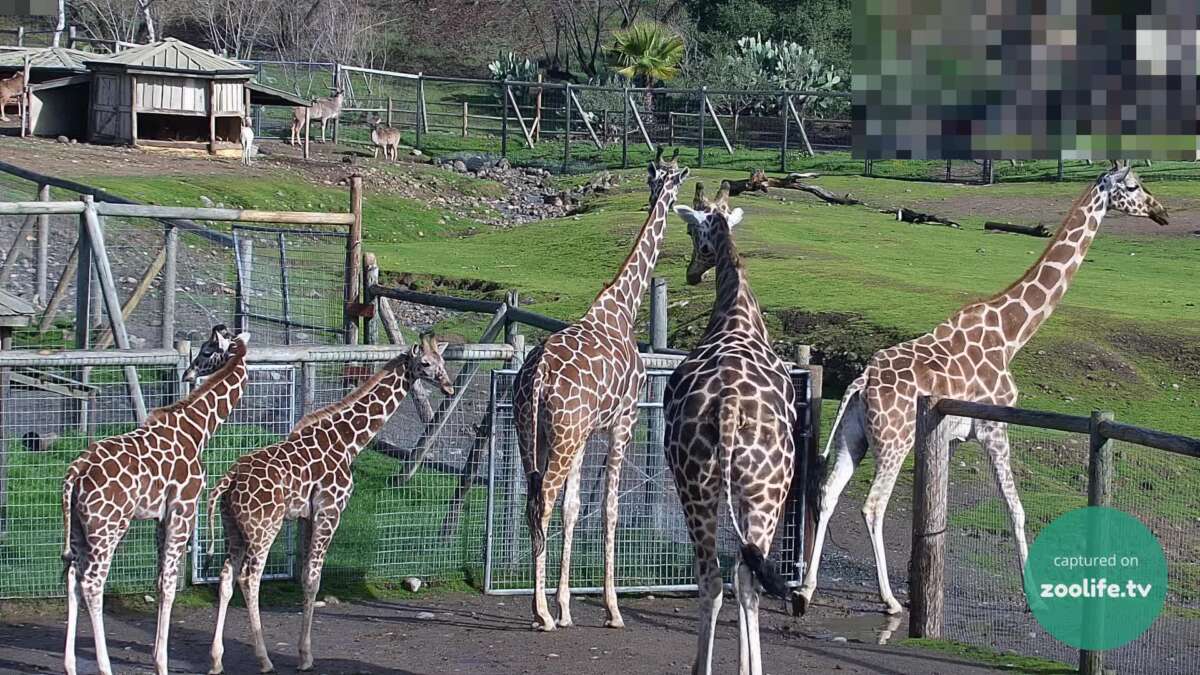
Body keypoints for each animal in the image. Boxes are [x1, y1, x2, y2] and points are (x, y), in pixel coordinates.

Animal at [62, 325, 251, 675]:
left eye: (206, 351)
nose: (189, 372)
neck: (198, 429)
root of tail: (74, 474)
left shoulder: (160, 518)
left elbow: (159, 580)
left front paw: (156, 655)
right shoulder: (183, 509)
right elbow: (169, 583)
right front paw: (161, 662)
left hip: (79, 529)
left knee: (71, 578)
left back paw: (70, 665)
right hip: (107, 528)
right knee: (92, 583)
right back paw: (104, 666)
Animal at [206, 334, 454, 674]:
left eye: (444, 362)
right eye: (426, 364)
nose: (449, 387)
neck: (349, 441)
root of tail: (229, 479)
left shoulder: (307, 516)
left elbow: (304, 577)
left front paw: (303, 653)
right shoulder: (330, 511)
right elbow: (313, 579)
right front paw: (306, 656)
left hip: (233, 527)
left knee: (226, 578)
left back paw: (217, 660)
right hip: (263, 529)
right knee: (249, 578)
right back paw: (264, 659)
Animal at [513, 147, 689, 631]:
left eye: (661, 179)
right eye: (677, 182)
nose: (668, 197)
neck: (623, 309)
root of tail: (537, 376)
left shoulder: (586, 433)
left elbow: (575, 508)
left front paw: (566, 605)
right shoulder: (623, 421)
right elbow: (609, 510)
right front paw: (610, 609)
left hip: (535, 434)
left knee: (534, 500)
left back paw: (545, 610)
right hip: (563, 435)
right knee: (542, 501)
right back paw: (538, 614)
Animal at [666, 181, 797, 675]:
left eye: (690, 229)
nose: (690, 274)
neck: (736, 309)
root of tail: (727, 407)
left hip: (699, 486)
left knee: (717, 576)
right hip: (763, 489)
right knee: (741, 576)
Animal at [797, 163, 1169, 616]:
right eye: (1133, 186)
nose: (1160, 211)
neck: (1012, 335)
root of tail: (860, 380)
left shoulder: (953, 436)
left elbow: (937, 508)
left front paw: (922, 579)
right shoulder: (995, 427)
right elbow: (1016, 509)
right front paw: (1033, 595)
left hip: (855, 437)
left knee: (829, 492)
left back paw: (808, 587)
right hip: (893, 440)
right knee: (872, 505)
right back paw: (888, 600)